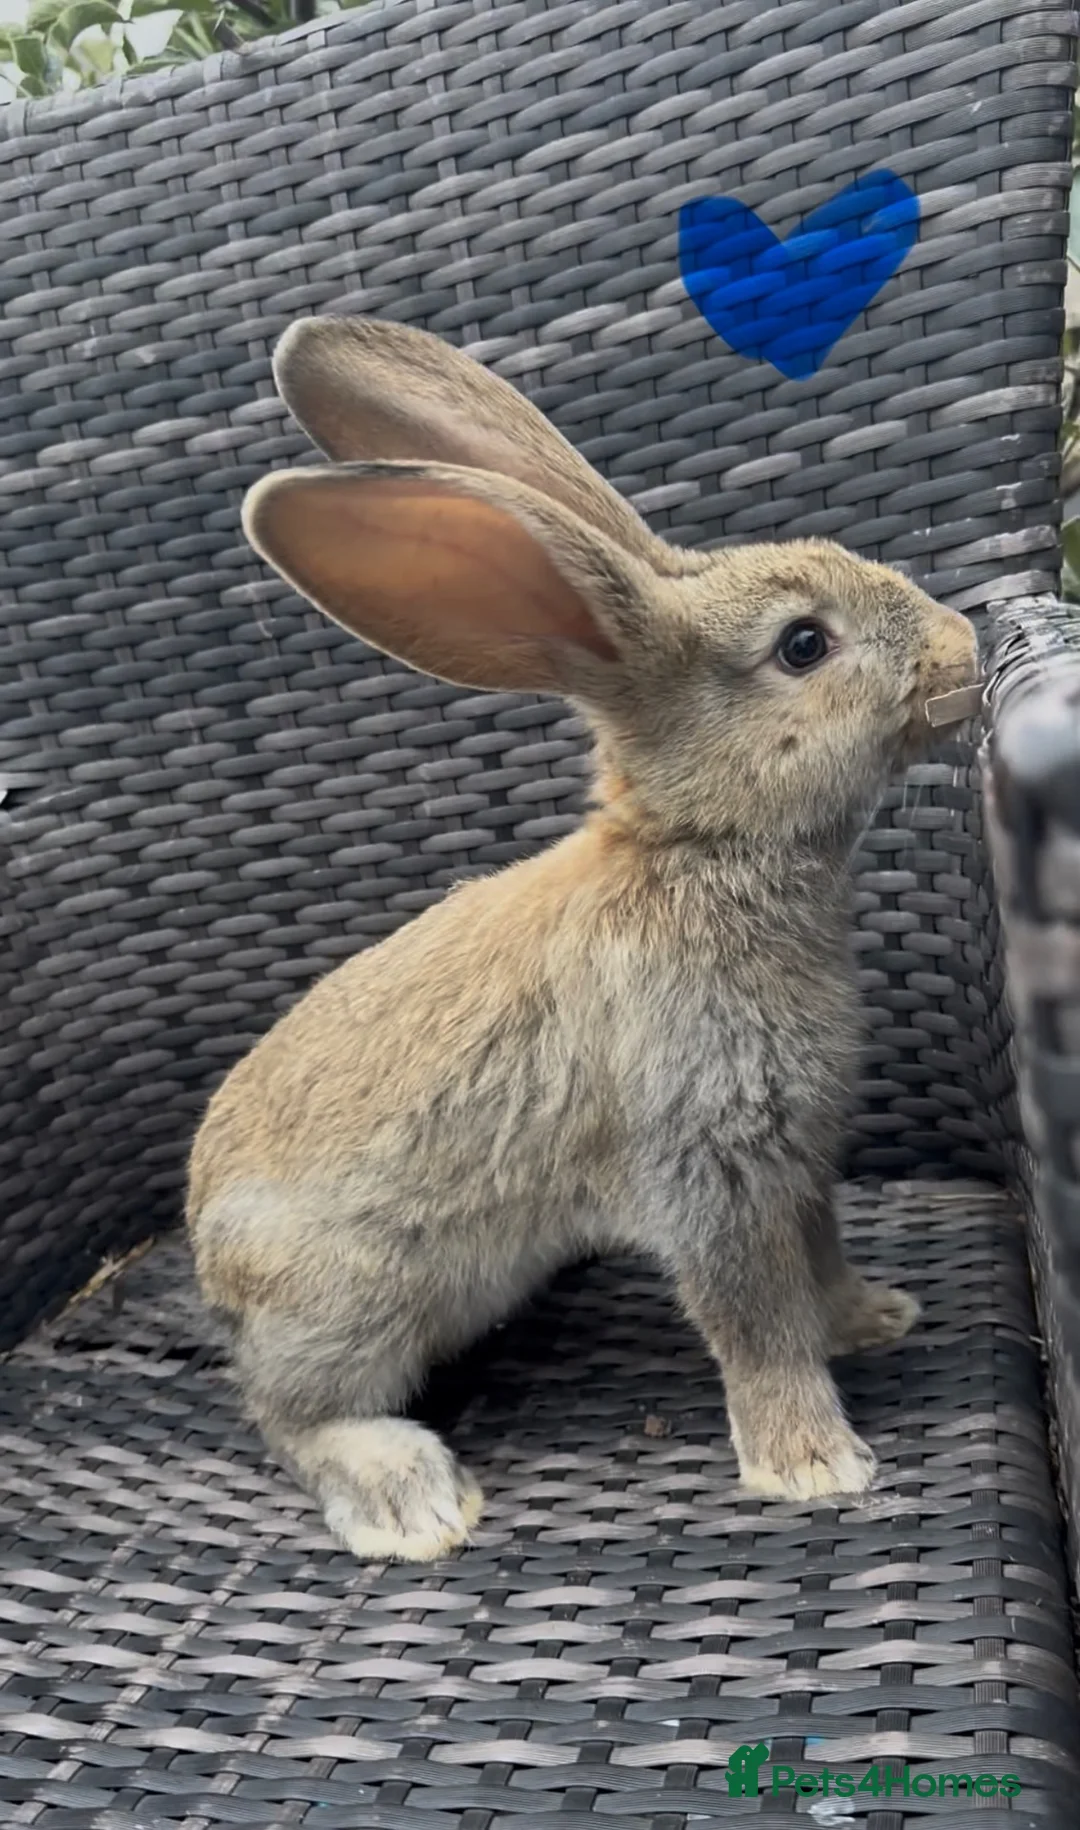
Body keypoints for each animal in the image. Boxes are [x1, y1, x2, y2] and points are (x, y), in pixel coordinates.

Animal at [186, 315, 979, 1563]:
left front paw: (875, 1318)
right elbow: (756, 1321)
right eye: (804, 646)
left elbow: (820, 1257)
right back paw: (411, 1501)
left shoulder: (796, 1158)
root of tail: (209, 1263)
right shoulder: (709, 1166)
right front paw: (814, 1467)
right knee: (289, 1413)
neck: (697, 853)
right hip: (352, 1302)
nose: (964, 645)